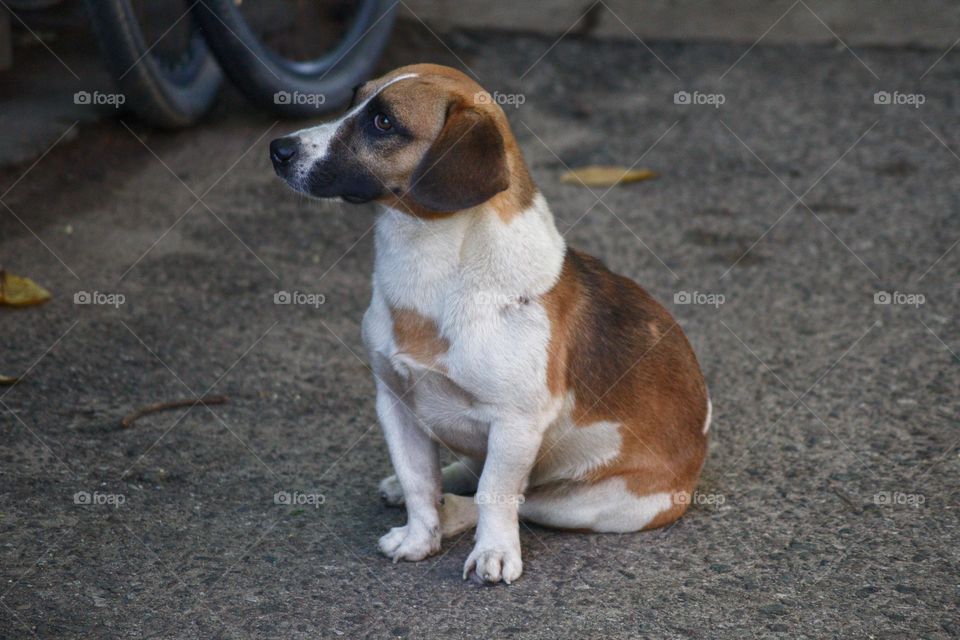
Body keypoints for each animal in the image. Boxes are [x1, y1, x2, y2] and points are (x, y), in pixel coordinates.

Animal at [270, 65, 712, 584]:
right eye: (353, 100)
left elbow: (495, 495)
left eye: (383, 123)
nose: (278, 149)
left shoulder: (515, 423)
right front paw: (420, 537)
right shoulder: (395, 404)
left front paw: (493, 552)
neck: (431, 270)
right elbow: (418, 482)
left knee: (518, 498)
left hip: (595, 504)